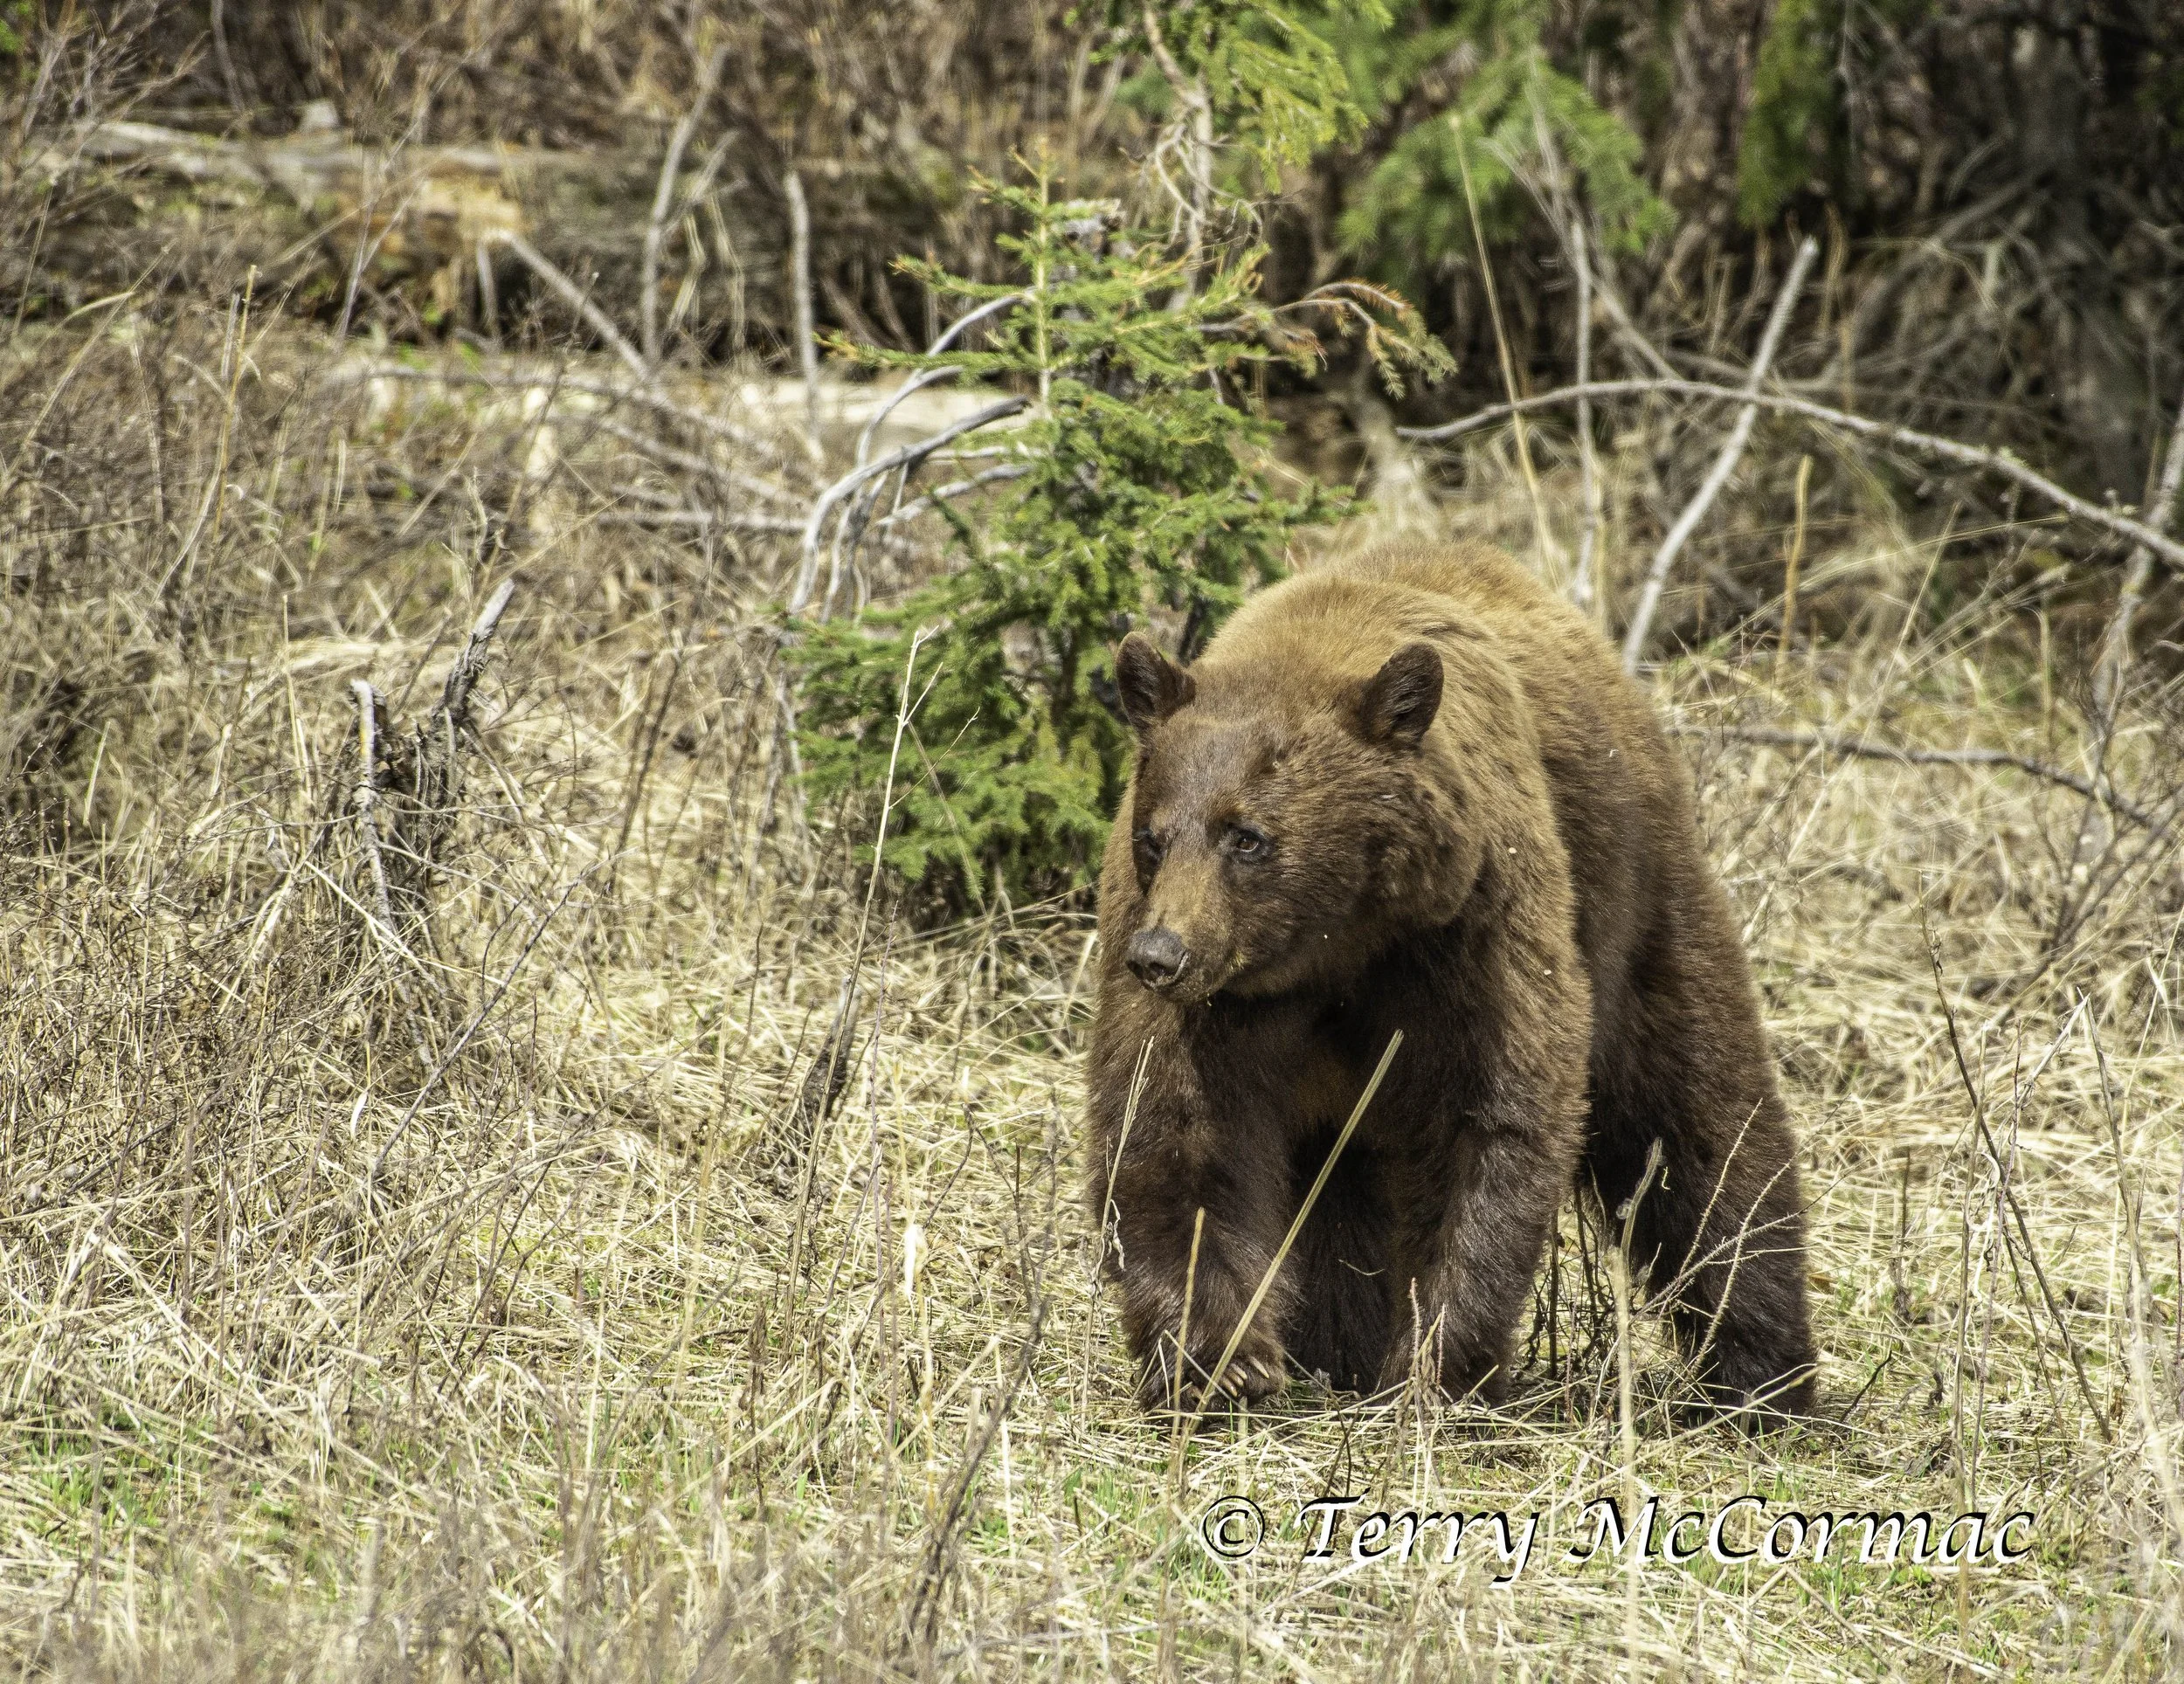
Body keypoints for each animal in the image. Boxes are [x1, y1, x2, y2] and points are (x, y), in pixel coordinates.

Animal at [1085, 540, 1816, 1422]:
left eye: (1247, 836)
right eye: (1154, 838)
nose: (1161, 956)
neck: (1338, 942)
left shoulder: (1469, 932)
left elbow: (1490, 1117)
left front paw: (1434, 1373)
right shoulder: (1221, 993)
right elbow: (1179, 1123)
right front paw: (1221, 1363)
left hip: (1634, 887)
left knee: (1701, 1114)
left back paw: (1763, 1376)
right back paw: (1339, 1350)